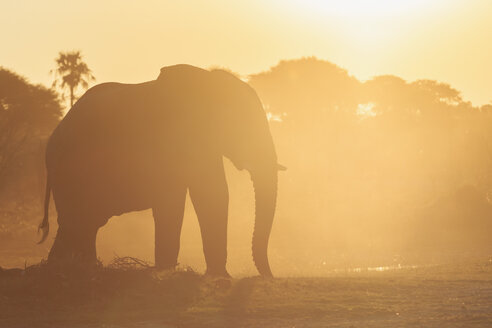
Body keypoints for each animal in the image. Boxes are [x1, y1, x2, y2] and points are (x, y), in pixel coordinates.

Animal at [38, 64, 280, 276]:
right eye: (242, 126)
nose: (269, 277)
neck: (207, 82)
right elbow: (199, 196)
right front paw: (170, 272)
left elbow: (211, 194)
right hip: (70, 170)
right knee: (78, 220)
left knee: (85, 222)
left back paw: (75, 267)